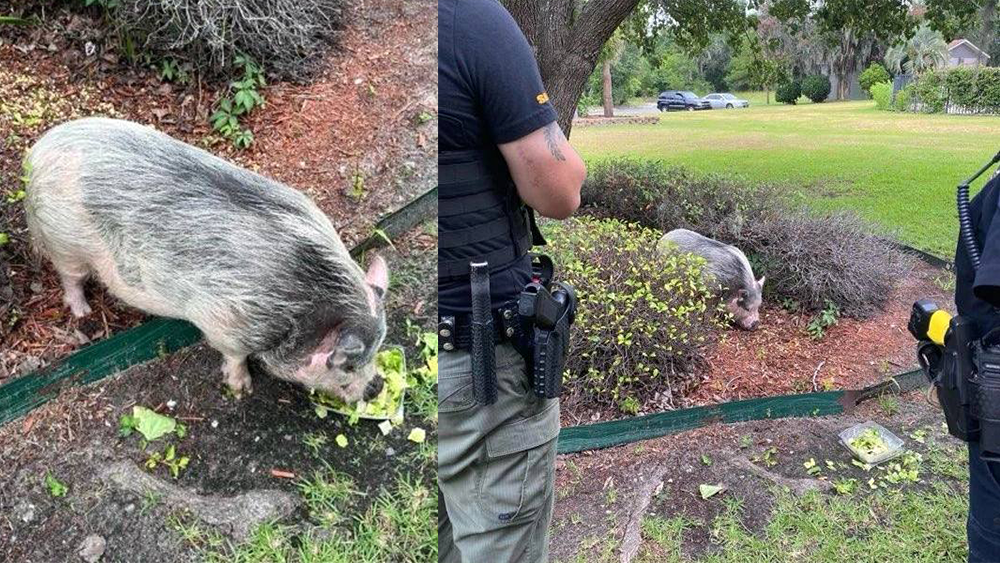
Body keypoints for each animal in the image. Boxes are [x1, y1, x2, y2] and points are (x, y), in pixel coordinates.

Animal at [25, 118, 386, 400]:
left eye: (378, 346)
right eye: (346, 365)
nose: (377, 387)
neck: (300, 301)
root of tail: (37, 153)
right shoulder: (225, 322)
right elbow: (235, 355)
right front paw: (241, 389)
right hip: (65, 242)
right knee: (71, 278)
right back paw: (83, 311)